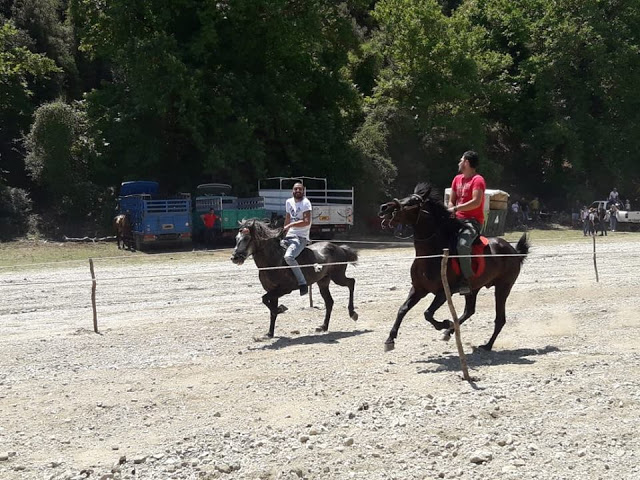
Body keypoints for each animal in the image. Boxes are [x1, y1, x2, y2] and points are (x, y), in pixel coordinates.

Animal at [230, 220, 360, 338]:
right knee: (329, 302)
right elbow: (270, 309)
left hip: (338, 277)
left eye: (246, 238)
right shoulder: (272, 291)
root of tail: (339, 248)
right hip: (323, 282)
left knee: (351, 282)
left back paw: (352, 313)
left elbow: (265, 300)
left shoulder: (283, 289)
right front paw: (270, 333)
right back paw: (323, 326)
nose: (234, 258)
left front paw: (280, 309)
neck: (274, 261)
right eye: (236, 238)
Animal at [378, 184, 528, 352]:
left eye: (412, 202)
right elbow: (402, 309)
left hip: (503, 288)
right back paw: (450, 332)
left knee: (500, 319)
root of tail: (514, 251)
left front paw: (444, 323)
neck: (432, 255)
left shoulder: (444, 292)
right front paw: (390, 339)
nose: (384, 207)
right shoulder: (418, 289)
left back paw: (486, 345)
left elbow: (427, 313)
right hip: (474, 288)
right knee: (469, 311)